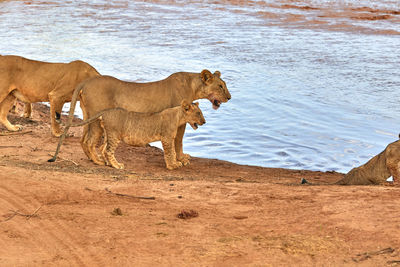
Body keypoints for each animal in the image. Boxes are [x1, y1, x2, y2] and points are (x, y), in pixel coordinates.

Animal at [49, 101, 206, 172]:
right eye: (198, 113)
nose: (204, 122)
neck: (179, 116)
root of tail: (106, 111)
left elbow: (172, 151)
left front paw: (176, 163)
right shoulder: (166, 138)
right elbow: (170, 152)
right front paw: (173, 165)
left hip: (109, 134)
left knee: (103, 148)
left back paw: (108, 163)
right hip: (114, 134)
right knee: (108, 150)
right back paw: (117, 165)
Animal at [60, 70, 231, 168]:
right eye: (220, 86)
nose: (229, 97)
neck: (193, 86)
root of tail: (86, 81)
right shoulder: (179, 120)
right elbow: (178, 141)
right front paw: (181, 159)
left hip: (88, 115)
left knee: (83, 139)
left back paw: (96, 160)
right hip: (97, 118)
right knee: (90, 141)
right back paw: (100, 161)